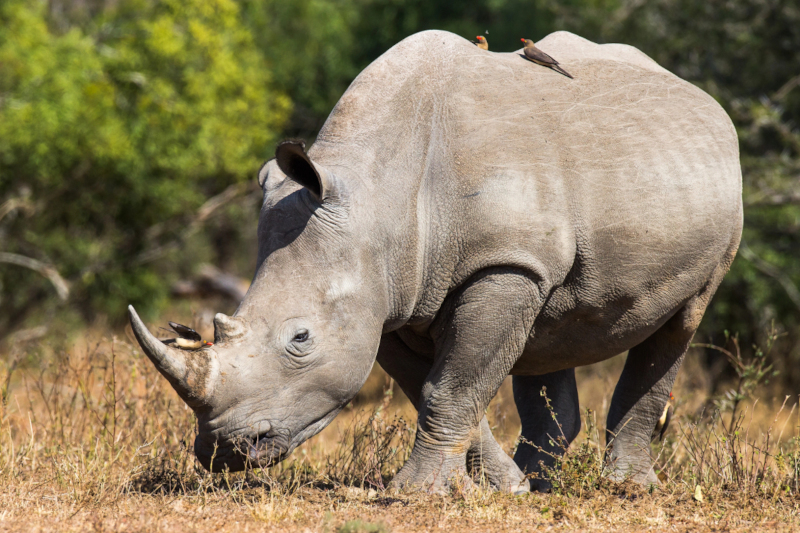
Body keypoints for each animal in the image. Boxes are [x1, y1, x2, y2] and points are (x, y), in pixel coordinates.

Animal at [128, 30, 742, 493]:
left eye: (300, 339)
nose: (225, 451)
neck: (376, 194)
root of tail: (700, 96)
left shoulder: (501, 265)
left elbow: (450, 386)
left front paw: (415, 493)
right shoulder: (389, 295)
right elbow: (435, 385)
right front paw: (504, 488)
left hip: (713, 214)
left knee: (682, 320)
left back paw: (627, 488)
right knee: (549, 332)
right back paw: (541, 483)